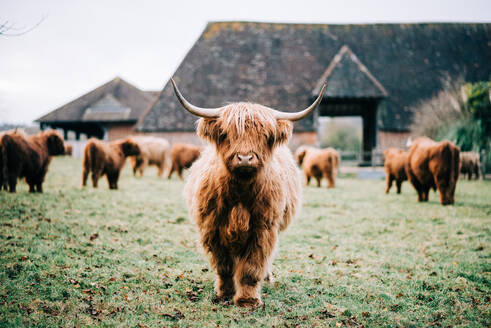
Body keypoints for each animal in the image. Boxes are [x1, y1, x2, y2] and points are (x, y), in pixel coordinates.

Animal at [172, 78, 326, 306]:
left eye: (265, 136)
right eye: (226, 134)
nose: (245, 158)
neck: (239, 194)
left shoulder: (263, 229)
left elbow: (252, 266)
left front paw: (248, 300)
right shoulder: (212, 228)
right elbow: (224, 265)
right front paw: (224, 294)